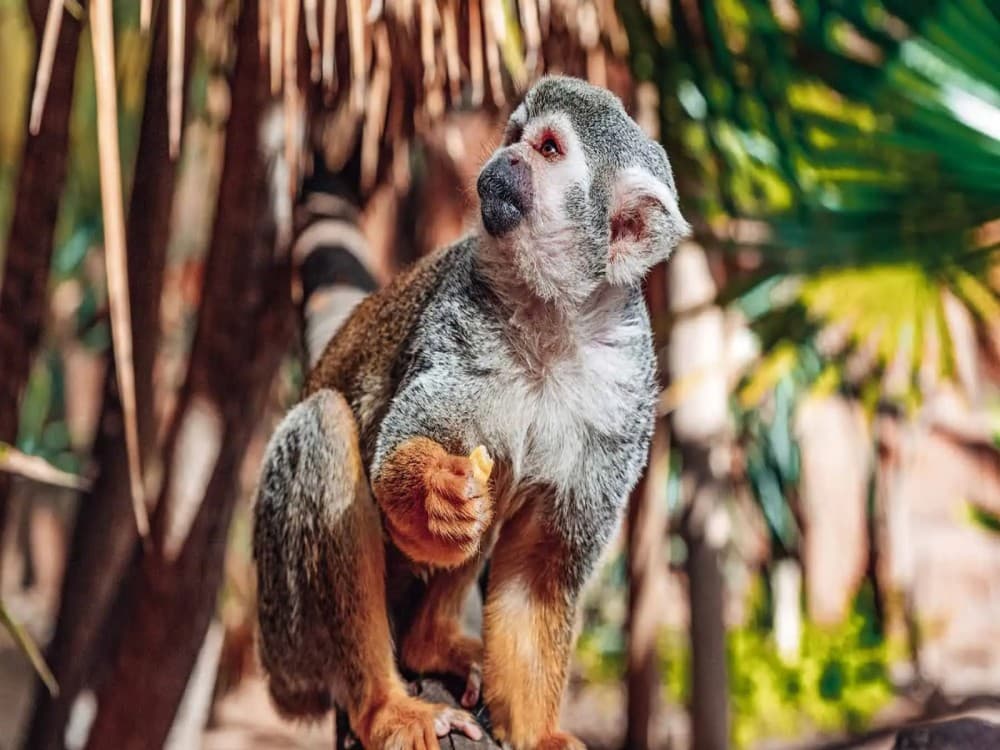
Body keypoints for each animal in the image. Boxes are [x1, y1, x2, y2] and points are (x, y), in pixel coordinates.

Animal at [252, 76, 690, 750]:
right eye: (516, 134)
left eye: (548, 148)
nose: (503, 158)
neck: (553, 319)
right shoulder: (459, 316)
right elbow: (395, 468)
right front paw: (436, 493)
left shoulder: (626, 390)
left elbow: (538, 571)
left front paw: (536, 733)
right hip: (287, 630)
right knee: (323, 426)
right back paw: (382, 705)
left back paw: (427, 646)